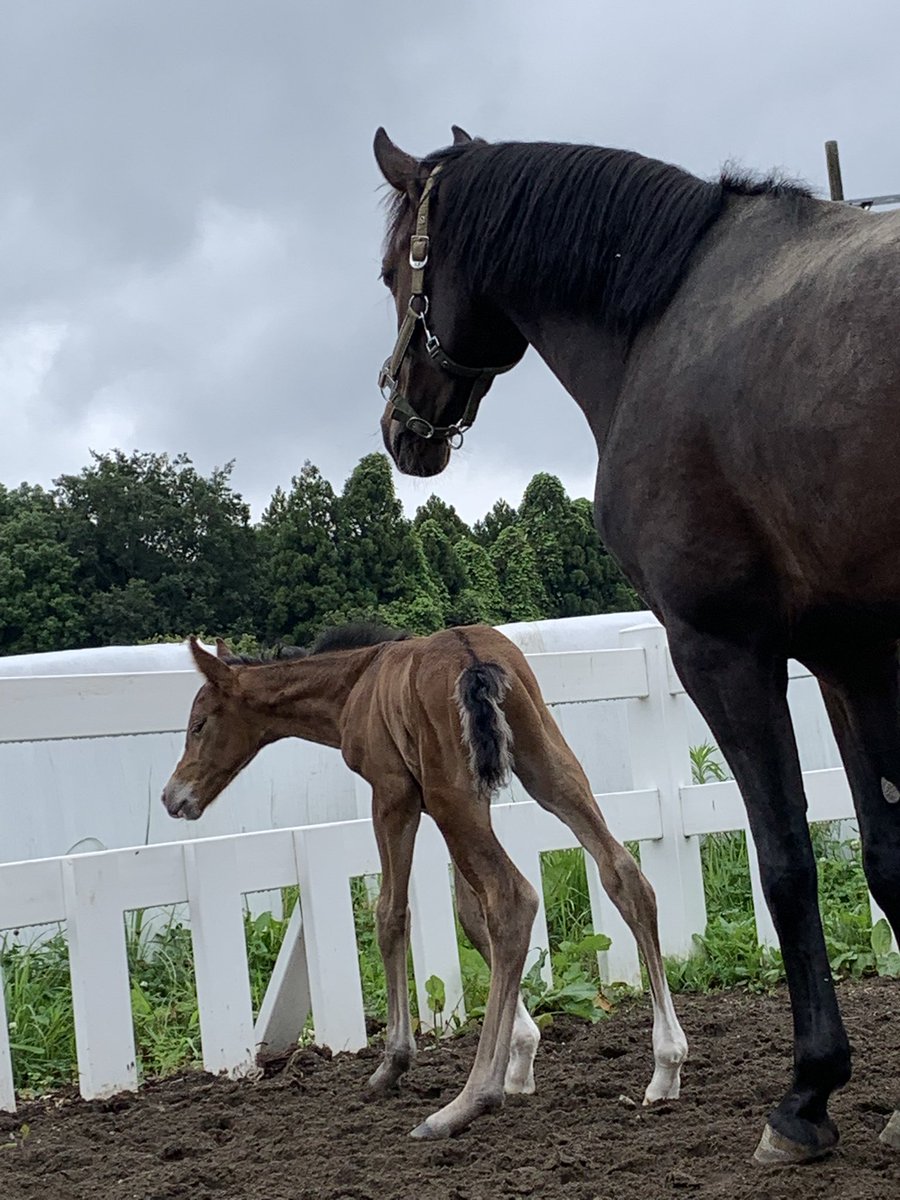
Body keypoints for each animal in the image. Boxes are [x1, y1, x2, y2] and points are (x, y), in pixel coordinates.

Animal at [162, 622, 687, 1139]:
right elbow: (470, 917)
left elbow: (391, 914)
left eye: (199, 724)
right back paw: (666, 1067)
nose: (172, 797)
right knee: (622, 876)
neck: (356, 682)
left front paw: (393, 1064)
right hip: (546, 768)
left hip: (452, 795)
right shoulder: (472, 798)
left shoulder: (394, 794)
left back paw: (468, 1101)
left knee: (513, 898)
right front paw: (521, 1056)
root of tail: (475, 659)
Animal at [372, 126, 900, 1164]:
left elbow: (787, 860)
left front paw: (807, 1094)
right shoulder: (850, 659)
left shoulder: (721, 650)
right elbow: (888, 855)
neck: (664, 316)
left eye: (389, 274)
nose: (399, 428)